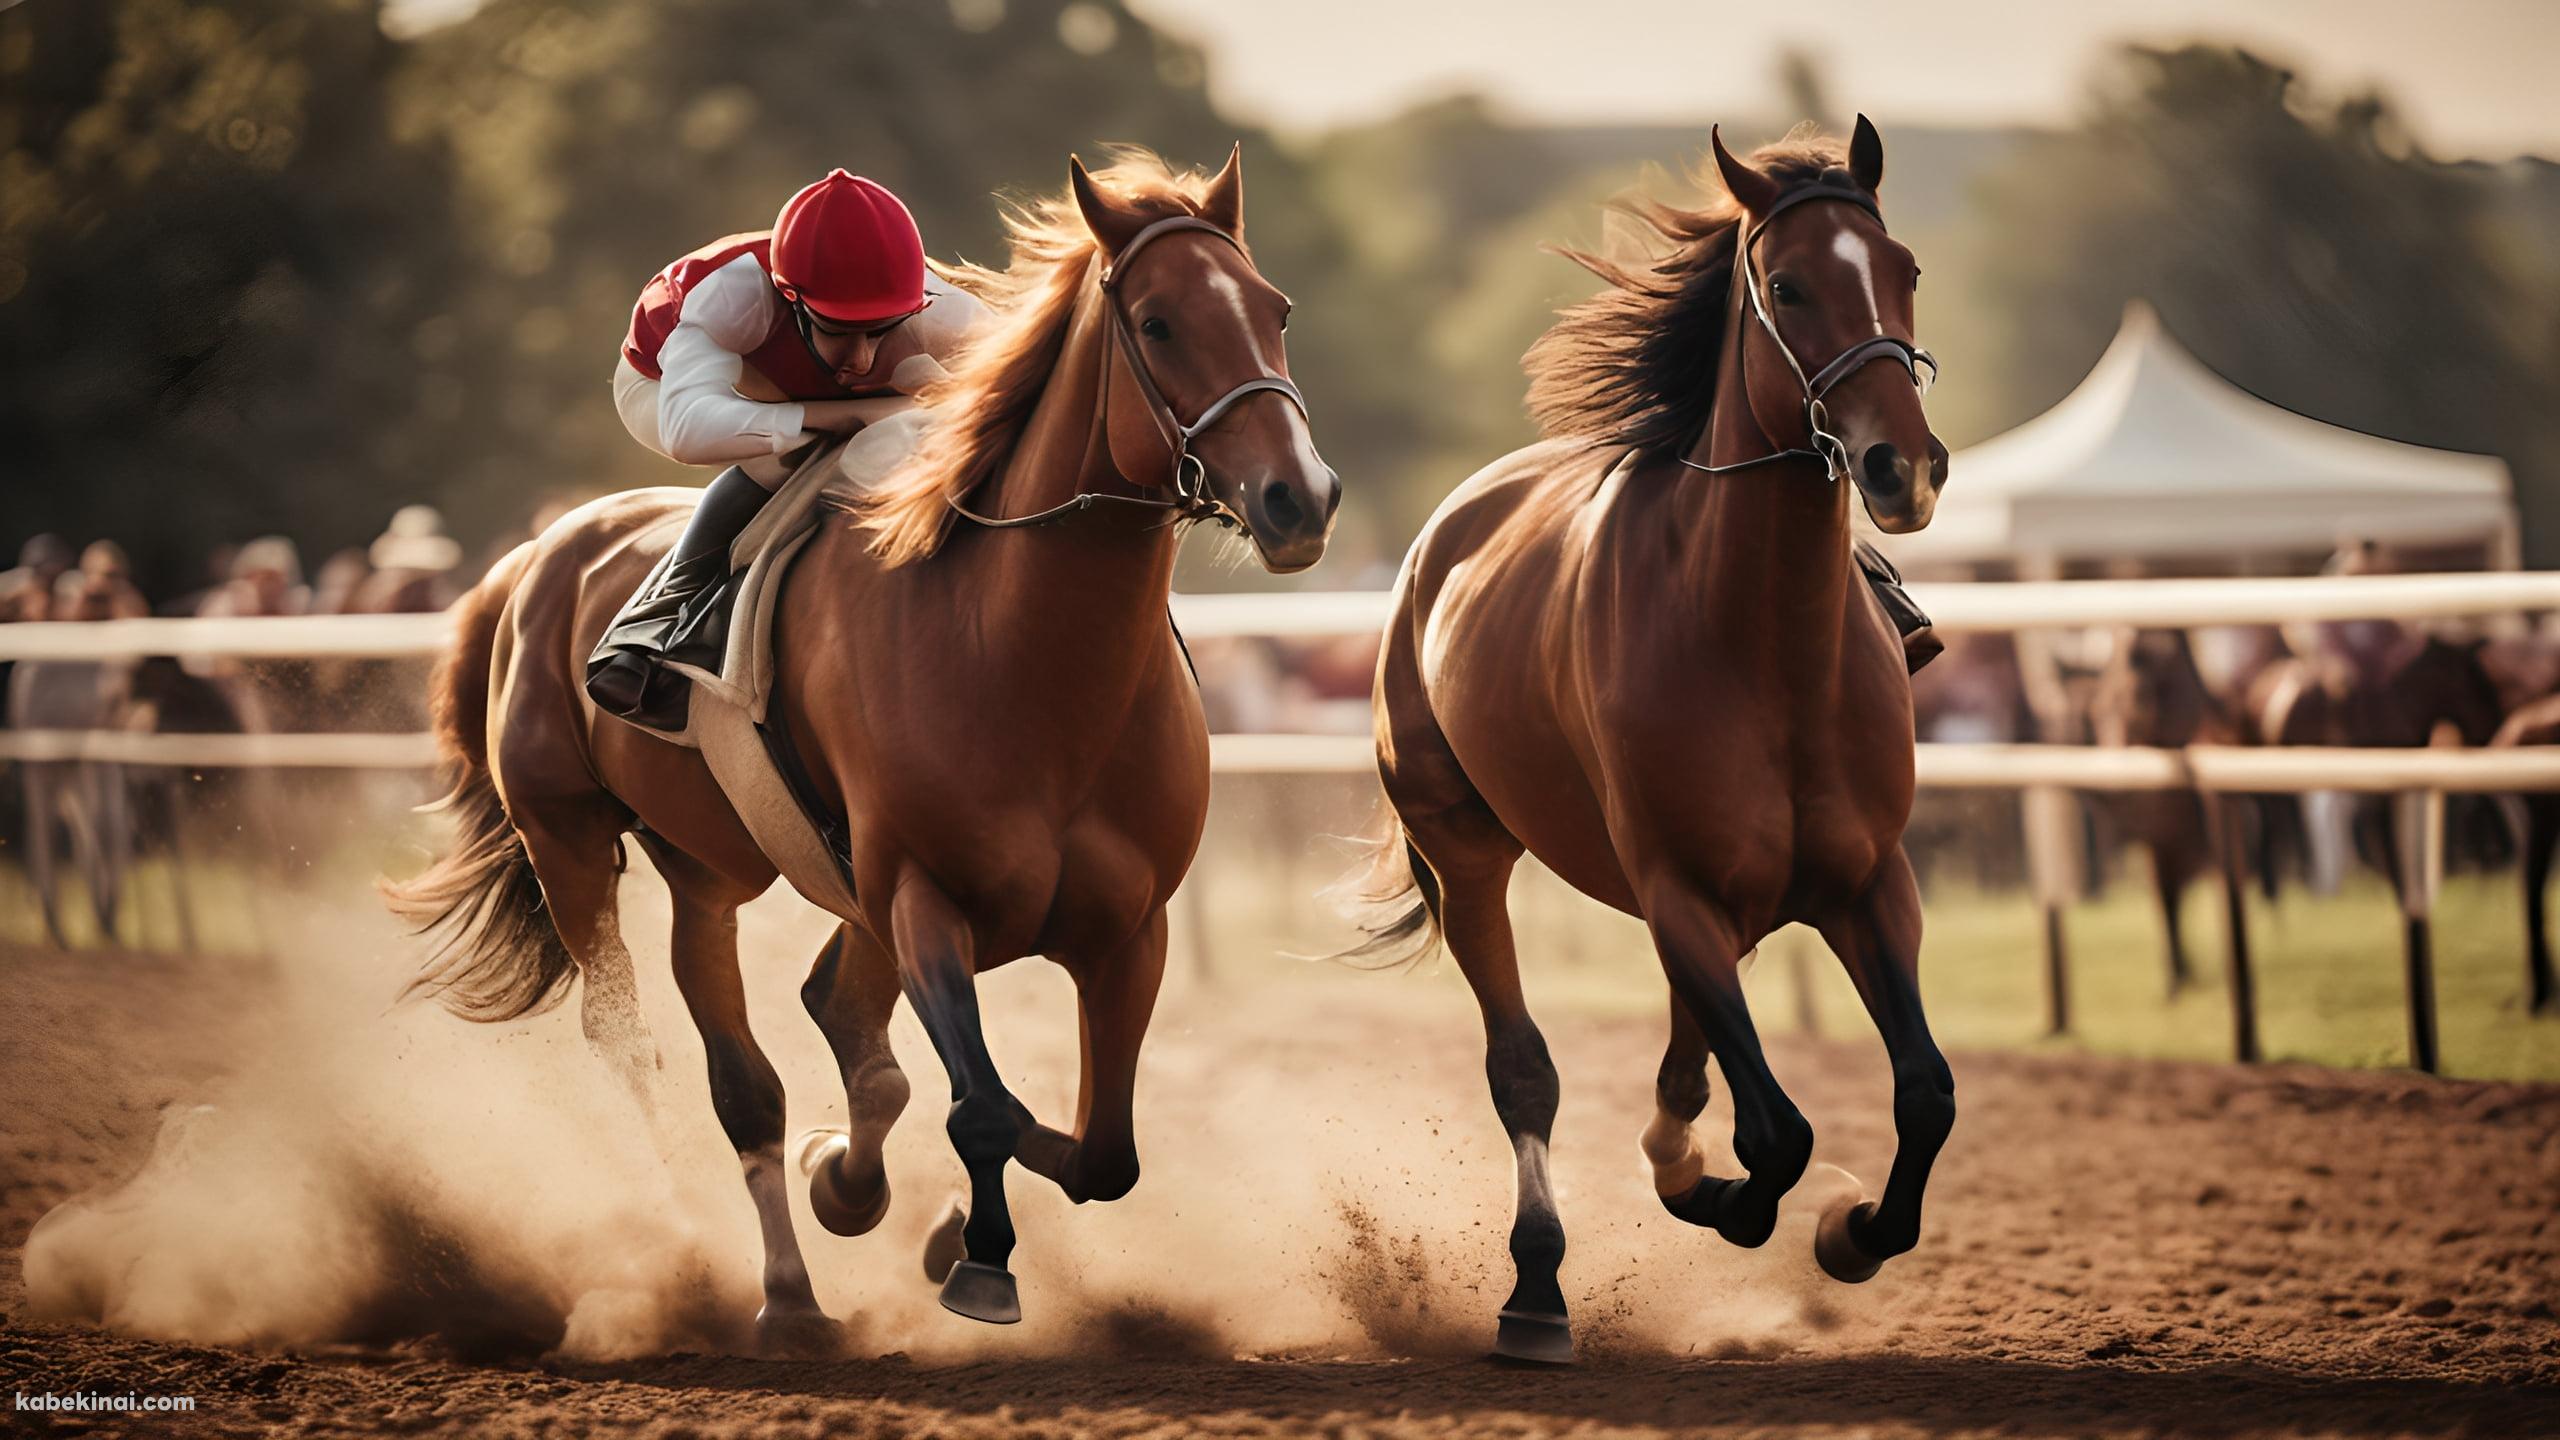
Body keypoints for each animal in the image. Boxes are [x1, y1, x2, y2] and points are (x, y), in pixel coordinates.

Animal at [386, 148, 1341, 1342]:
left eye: (1277, 310)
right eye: (1159, 323)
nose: (1299, 499)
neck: (1026, 661)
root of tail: (536, 554)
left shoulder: (1129, 927)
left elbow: (1099, 1152)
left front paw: (895, 1203)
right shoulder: (922, 895)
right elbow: (983, 1105)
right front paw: (971, 1256)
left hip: (716, 866)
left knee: (797, 1036)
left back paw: (819, 1221)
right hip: (570, 841)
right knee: (654, 1054)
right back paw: (737, 1274)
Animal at [1351, 120, 1945, 1352]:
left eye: (1903, 268)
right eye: (1788, 285)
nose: (1902, 466)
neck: (1769, 650)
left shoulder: (1869, 883)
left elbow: (1923, 1091)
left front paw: (1853, 1232)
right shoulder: (1678, 888)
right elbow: (1776, 1133)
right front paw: (1742, 1201)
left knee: (1690, 1064)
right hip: (1465, 850)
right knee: (1525, 1071)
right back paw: (1537, 1288)